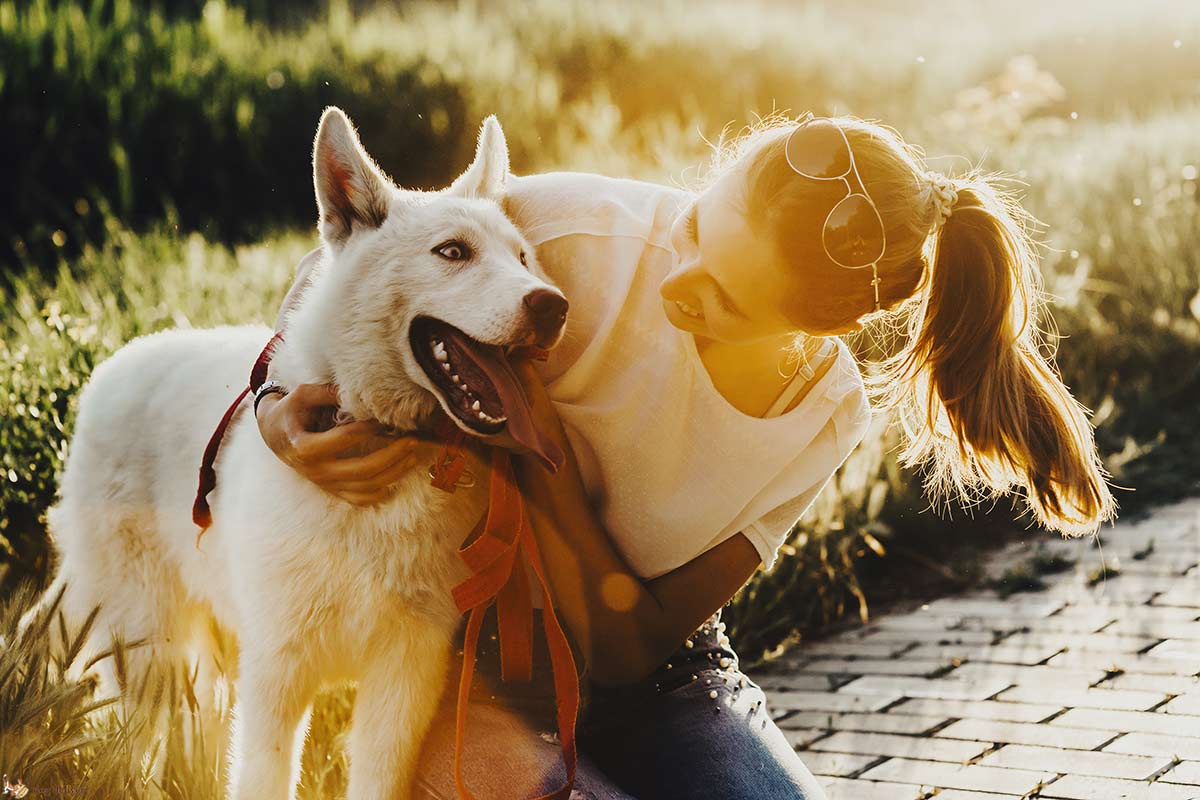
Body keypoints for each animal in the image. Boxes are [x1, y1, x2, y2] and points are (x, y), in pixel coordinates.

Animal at [38, 107, 571, 800]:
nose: (554, 306)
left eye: (523, 257)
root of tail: (113, 364)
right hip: (148, 650)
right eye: (453, 252)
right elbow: (262, 779)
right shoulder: (277, 675)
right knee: (134, 743)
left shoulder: (403, 682)